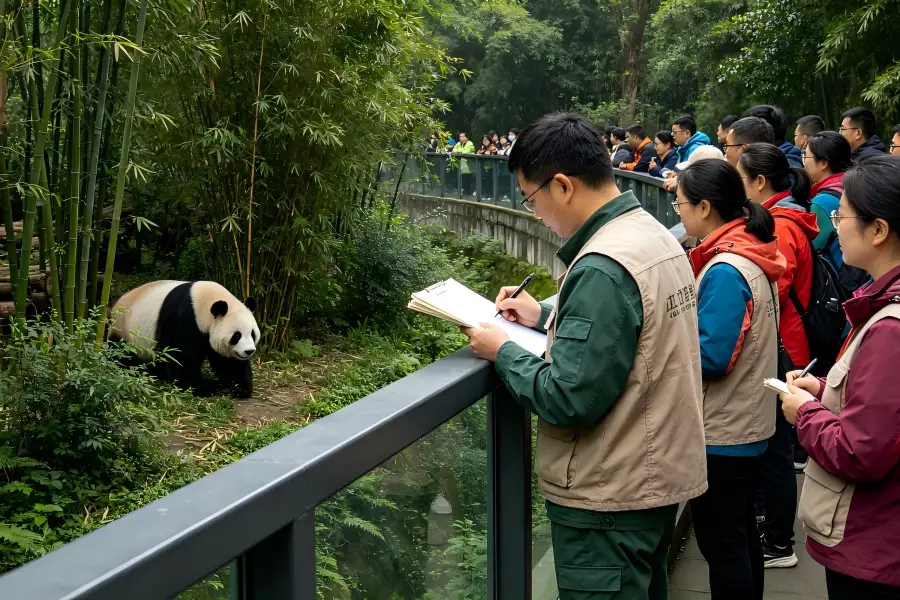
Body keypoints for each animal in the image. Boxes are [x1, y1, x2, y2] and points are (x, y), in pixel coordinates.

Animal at [109, 280, 260, 398]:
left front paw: (240, 387)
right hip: (125, 331)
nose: (249, 351)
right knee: (124, 354)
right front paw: (202, 389)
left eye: (252, 334)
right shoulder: (183, 320)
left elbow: (226, 361)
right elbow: (182, 357)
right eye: (236, 335)